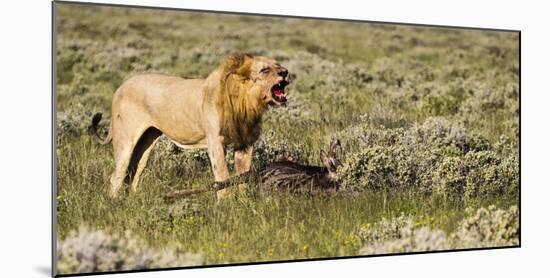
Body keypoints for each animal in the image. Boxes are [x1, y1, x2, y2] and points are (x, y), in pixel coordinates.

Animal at [89, 54, 294, 197]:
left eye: (278, 65)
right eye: (265, 70)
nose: (285, 72)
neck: (246, 102)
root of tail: (120, 86)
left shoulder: (245, 143)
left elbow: (243, 176)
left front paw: (243, 204)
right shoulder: (215, 142)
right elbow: (222, 176)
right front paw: (226, 205)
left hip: (146, 142)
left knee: (133, 174)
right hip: (126, 140)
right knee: (117, 176)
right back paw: (115, 204)